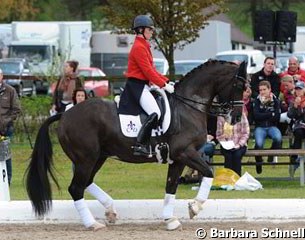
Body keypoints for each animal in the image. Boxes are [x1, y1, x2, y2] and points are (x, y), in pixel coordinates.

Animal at [25, 59, 246, 231]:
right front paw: (195, 207)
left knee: (86, 183)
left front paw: (170, 220)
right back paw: (92, 224)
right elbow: (208, 172)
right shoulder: (185, 153)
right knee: (76, 188)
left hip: (97, 157)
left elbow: (171, 186)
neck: (188, 106)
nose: (235, 118)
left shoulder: (177, 158)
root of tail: (65, 114)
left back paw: (110, 210)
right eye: (239, 86)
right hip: (85, 159)